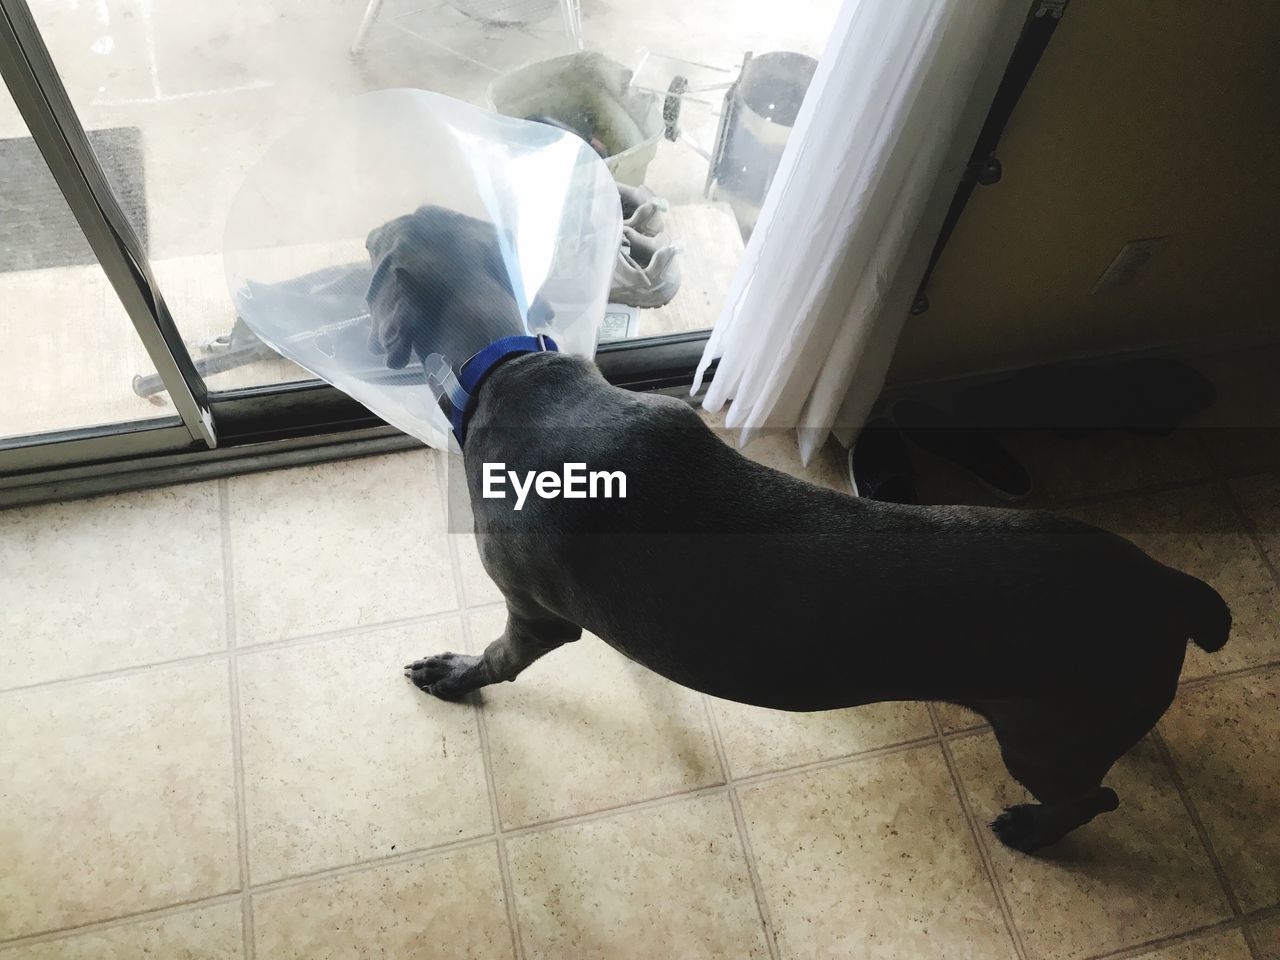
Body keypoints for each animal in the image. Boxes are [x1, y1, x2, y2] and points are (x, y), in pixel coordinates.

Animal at [373, 207, 1228, 855]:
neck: (506, 369)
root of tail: (1170, 586)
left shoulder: (532, 612)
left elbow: (500, 656)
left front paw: (454, 673)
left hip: (1040, 744)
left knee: (1095, 800)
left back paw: (1034, 832)